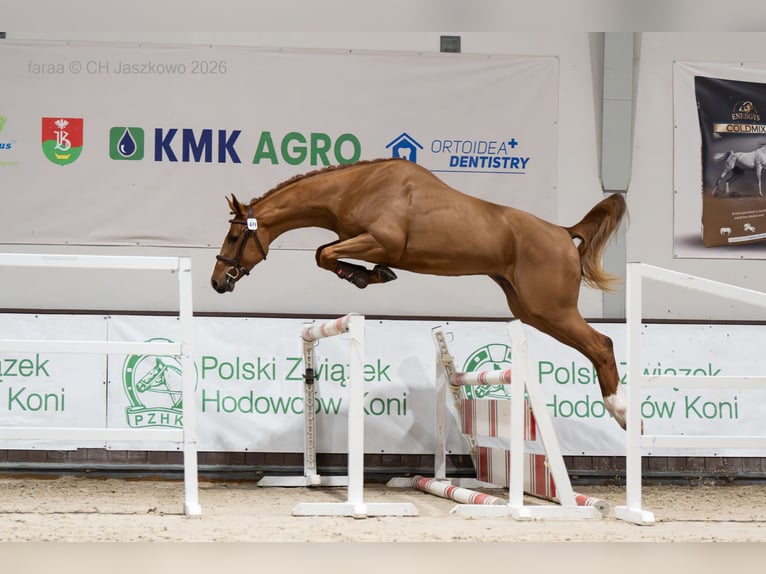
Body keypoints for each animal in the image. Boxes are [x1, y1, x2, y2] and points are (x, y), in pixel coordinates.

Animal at [211, 158, 629, 429]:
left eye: (233, 236)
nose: (217, 282)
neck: (354, 188)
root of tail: (563, 233)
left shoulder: (381, 241)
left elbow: (324, 254)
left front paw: (367, 276)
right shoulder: (358, 240)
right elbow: (323, 252)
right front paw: (370, 274)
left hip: (551, 308)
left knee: (602, 344)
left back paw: (621, 410)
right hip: (533, 310)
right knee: (594, 346)